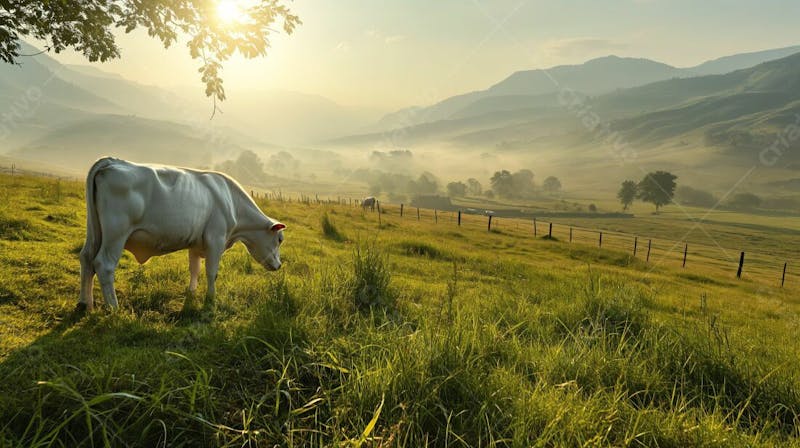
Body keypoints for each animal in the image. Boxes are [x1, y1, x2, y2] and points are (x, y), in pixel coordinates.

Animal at [79, 158, 286, 312]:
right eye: (279, 239)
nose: (279, 265)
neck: (232, 201)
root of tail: (112, 161)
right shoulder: (216, 239)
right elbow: (212, 272)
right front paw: (211, 299)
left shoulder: (196, 243)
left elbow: (194, 269)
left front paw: (191, 292)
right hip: (116, 233)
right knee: (104, 264)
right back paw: (114, 307)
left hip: (95, 232)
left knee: (86, 258)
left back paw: (85, 303)